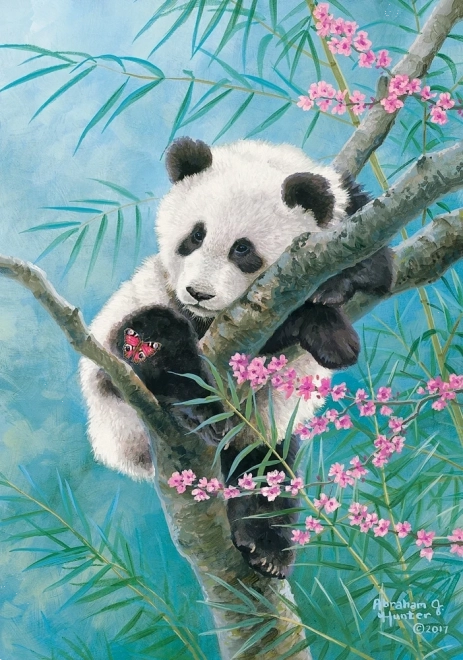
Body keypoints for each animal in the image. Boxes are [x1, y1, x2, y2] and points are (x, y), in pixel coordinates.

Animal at [80, 137, 392, 579]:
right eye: (195, 236)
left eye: (242, 249)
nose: (199, 292)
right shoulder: (197, 308)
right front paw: (328, 331)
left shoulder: (357, 215)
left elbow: (378, 266)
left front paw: (333, 304)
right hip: (115, 385)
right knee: (160, 348)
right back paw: (189, 395)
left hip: (262, 431)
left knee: (268, 470)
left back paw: (266, 547)